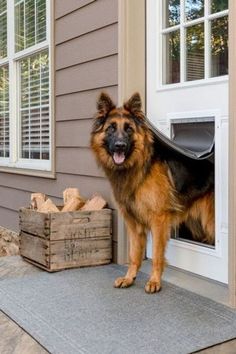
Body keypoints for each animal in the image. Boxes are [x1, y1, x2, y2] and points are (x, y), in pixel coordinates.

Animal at [90, 91, 214, 294]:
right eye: (110, 129)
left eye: (129, 129)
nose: (120, 146)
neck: (137, 169)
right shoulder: (133, 223)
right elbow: (134, 254)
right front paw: (129, 278)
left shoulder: (159, 220)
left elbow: (156, 254)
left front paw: (155, 281)